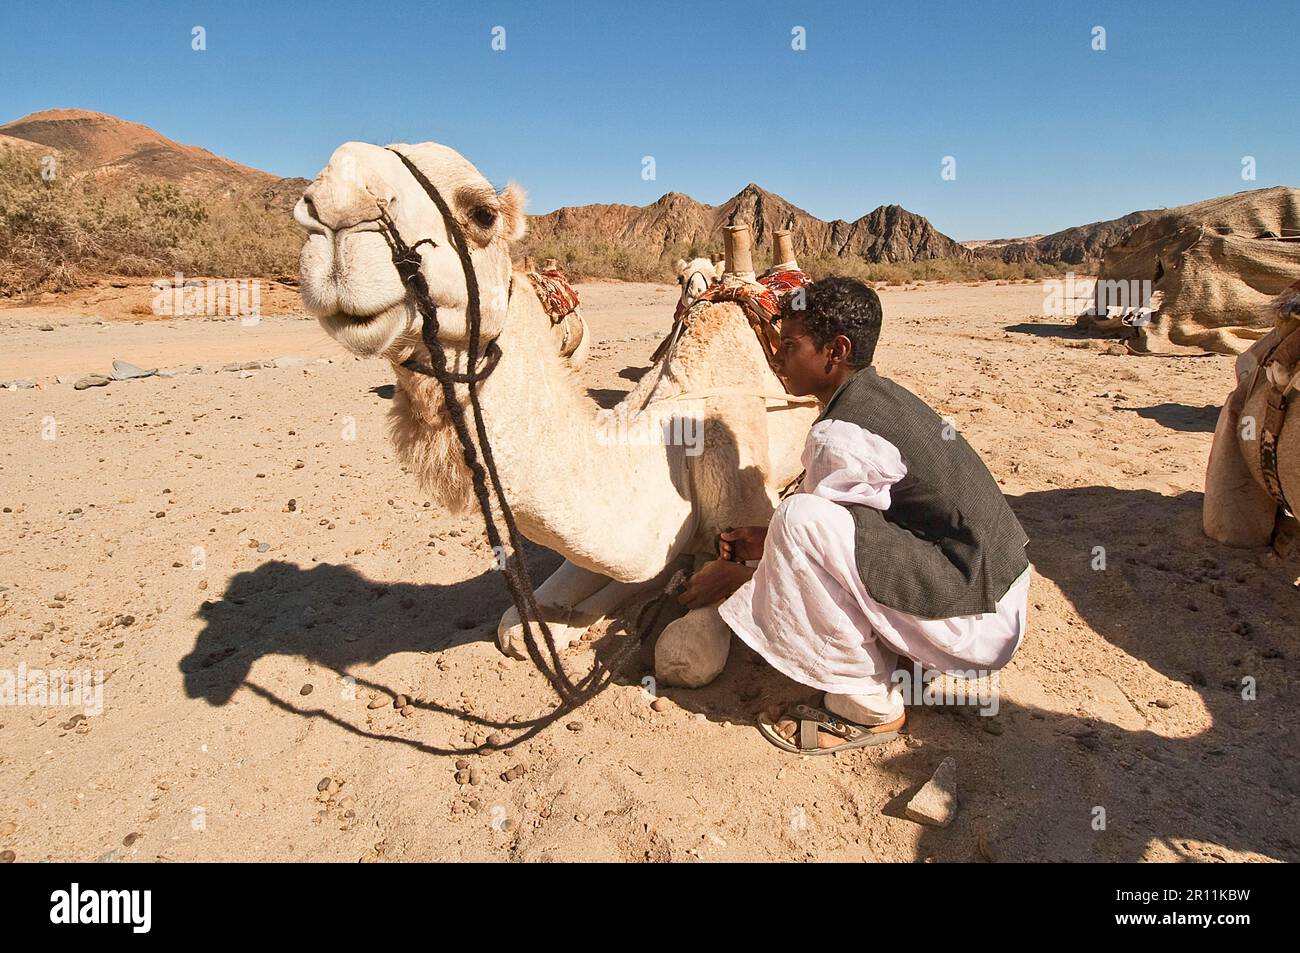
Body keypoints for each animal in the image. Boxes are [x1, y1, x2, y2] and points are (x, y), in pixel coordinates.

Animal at [299, 141, 816, 686]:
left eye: (482, 214)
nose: (334, 206)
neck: (671, 443)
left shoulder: (747, 505)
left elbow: (685, 650)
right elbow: (519, 619)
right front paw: (565, 620)